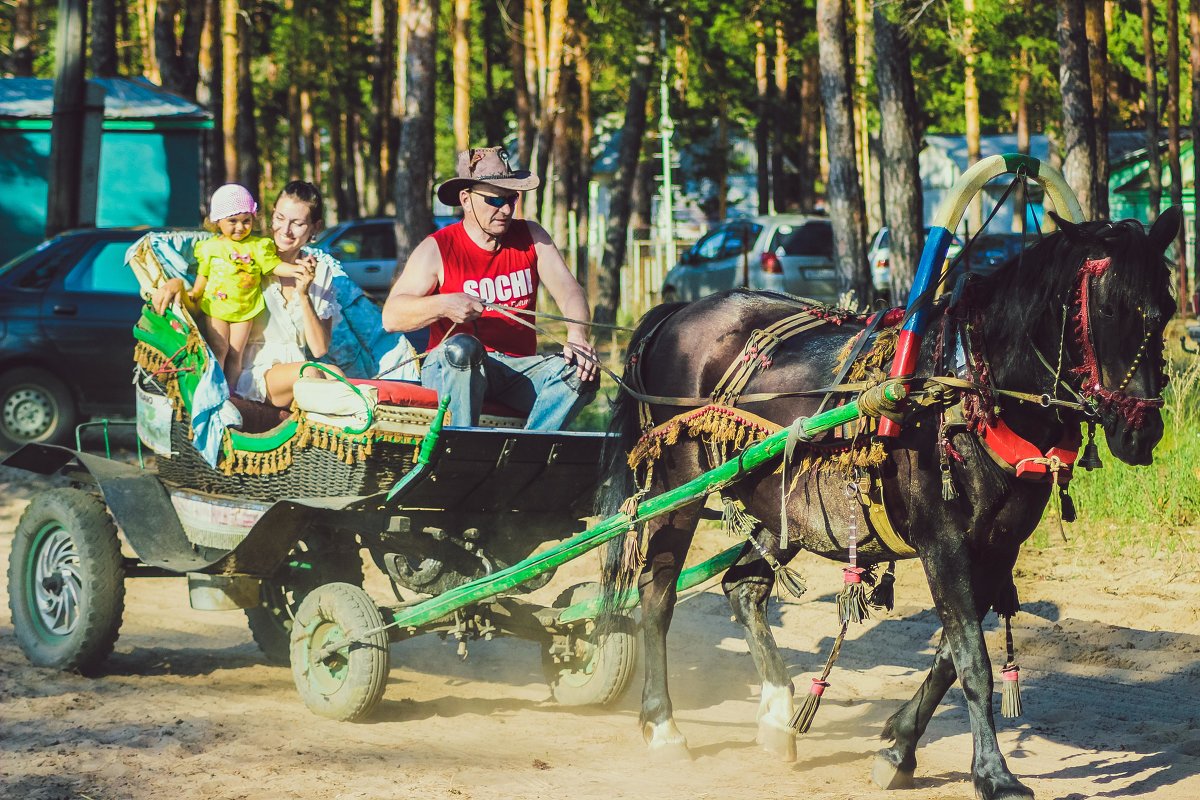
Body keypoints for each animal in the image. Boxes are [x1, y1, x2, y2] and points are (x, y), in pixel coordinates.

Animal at [600, 208, 1180, 800]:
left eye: (1165, 308)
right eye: (1105, 308)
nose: (1141, 432)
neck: (965, 390)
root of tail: (678, 312)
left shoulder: (1000, 547)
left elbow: (950, 654)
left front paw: (899, 746)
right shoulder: (942, 542)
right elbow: (973, 659)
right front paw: (994, 774)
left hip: (785, 507)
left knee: (743, 587)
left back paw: (778, 713)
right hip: (679, 487)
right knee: (657, 593)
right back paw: (663, 723)